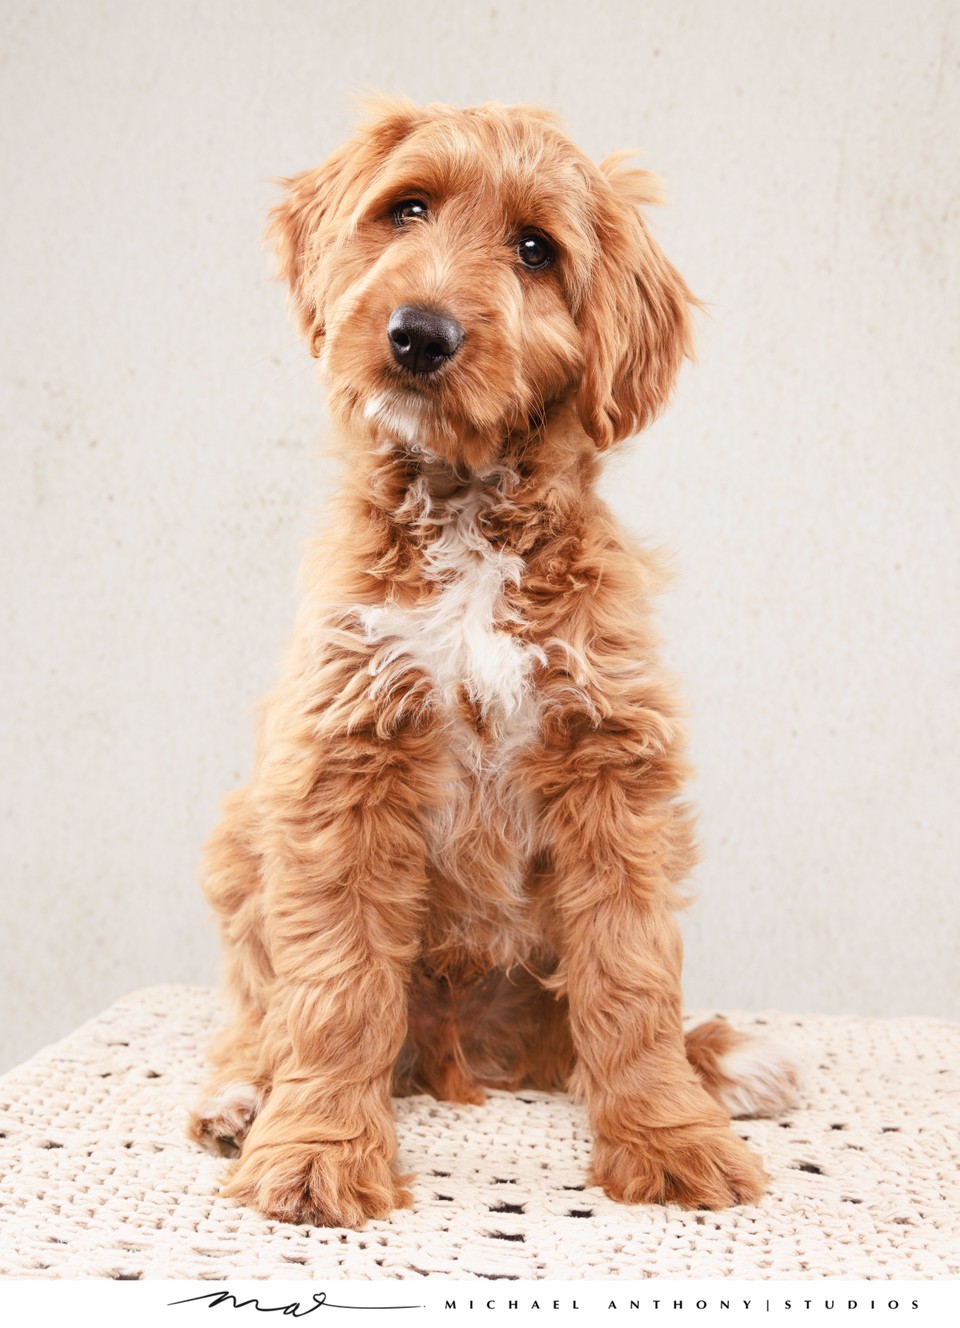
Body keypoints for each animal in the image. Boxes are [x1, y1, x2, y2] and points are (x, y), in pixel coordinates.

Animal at [185, 98, 796, 1227]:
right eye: (407, 208)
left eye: (535, 250)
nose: (419, 334)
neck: (469, 509)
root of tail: (471, 1048)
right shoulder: (340, 757)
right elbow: (335, 986)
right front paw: (317, 1151)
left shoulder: (613, 763)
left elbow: (631, 978)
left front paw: (669, 1132)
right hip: (241, 838)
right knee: (263, 1008)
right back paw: (245, 1096)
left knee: (582, 1030)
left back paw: (716, 1065)